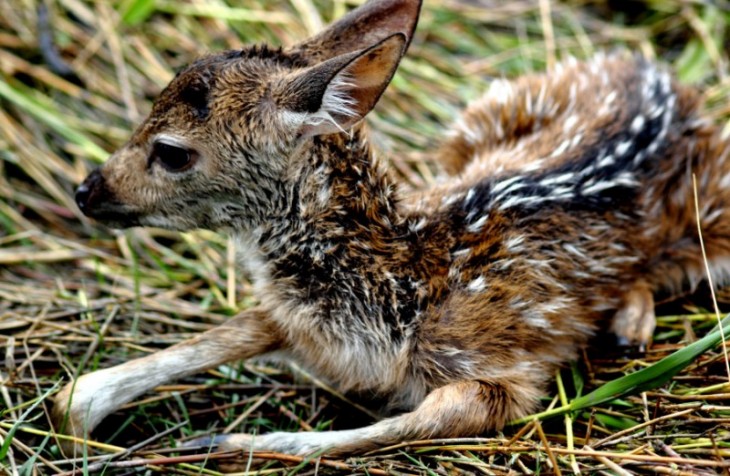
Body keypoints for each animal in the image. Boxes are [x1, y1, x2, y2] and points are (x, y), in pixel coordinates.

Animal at [55, 0, 728, 462]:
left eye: (172, 152)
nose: (86, 191)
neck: (392, 282)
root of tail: (661, 74)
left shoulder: (501, 371)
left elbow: (413, 421)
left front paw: (218, 443)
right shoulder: (295, 318)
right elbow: (191, 348)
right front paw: (80, 421)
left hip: (715, 222)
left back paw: (630, 327)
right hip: (473, 125)